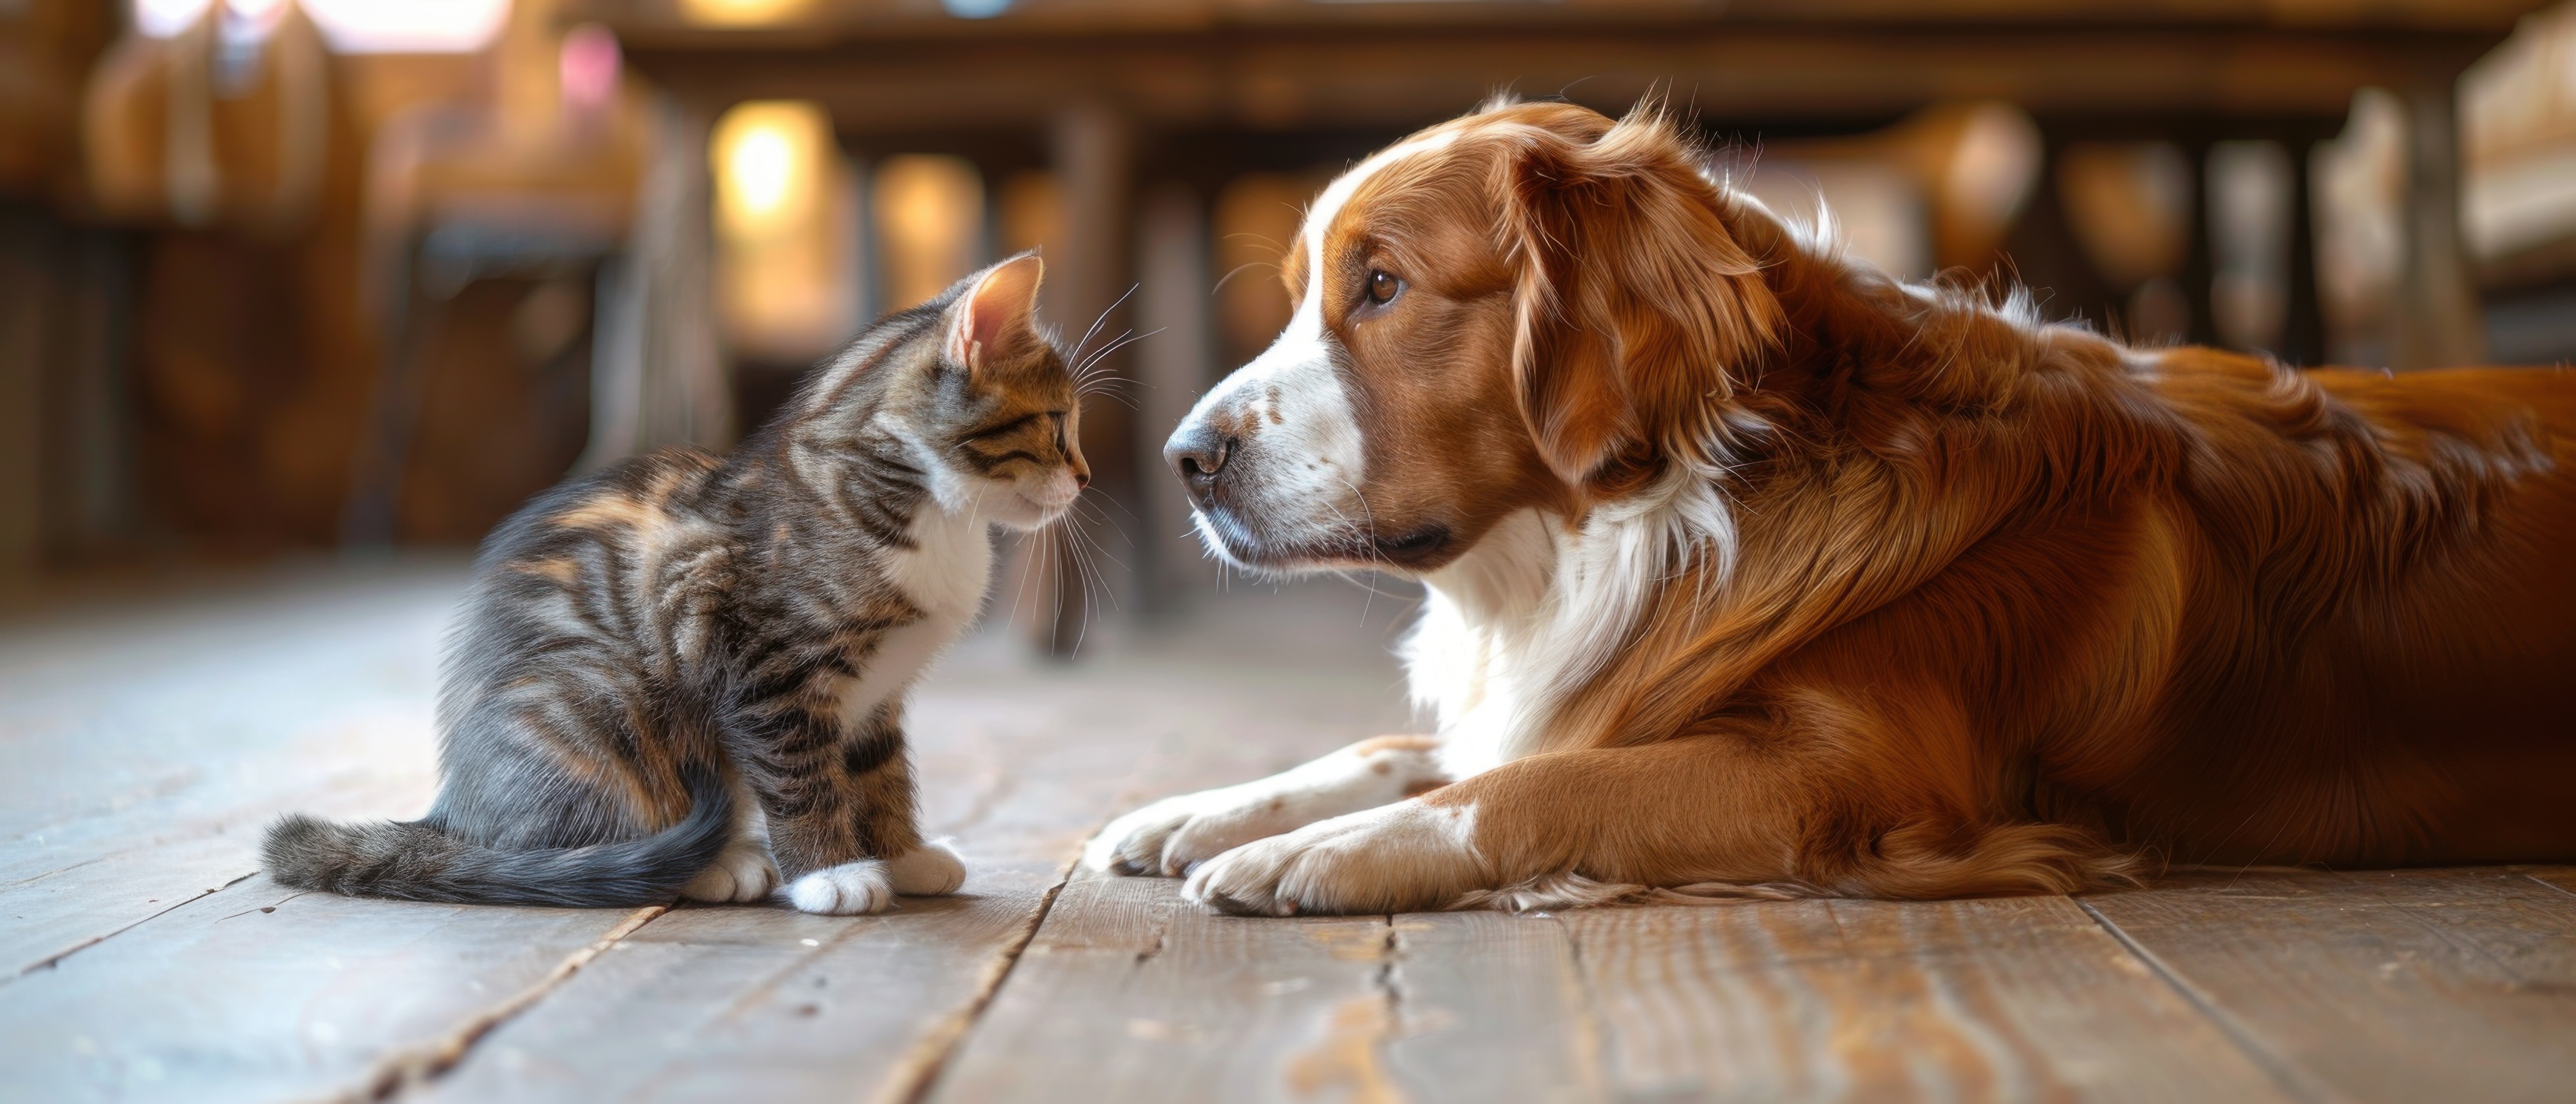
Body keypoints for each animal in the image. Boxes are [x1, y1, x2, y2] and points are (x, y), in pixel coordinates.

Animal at [269, 256, 1087, 911]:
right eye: (1056, 425)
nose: (1083, 476)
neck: (922, 505)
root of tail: (453, 813)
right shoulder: (763, 671)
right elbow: (800, 778)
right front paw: (831, 874)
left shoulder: (875, 694)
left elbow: (879, 773)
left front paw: (901, 854)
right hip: (600, 703)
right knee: (578, 847)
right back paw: (715, 866)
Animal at [1082, 101, 2576, 911]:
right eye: (1303, 293)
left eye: (1384, 286)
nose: (1180, 458)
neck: (1684, 497)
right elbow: (1427, 747)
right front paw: (1207, 810)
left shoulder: (1851, 782)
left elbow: (1536, 783)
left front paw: (1325, 852)